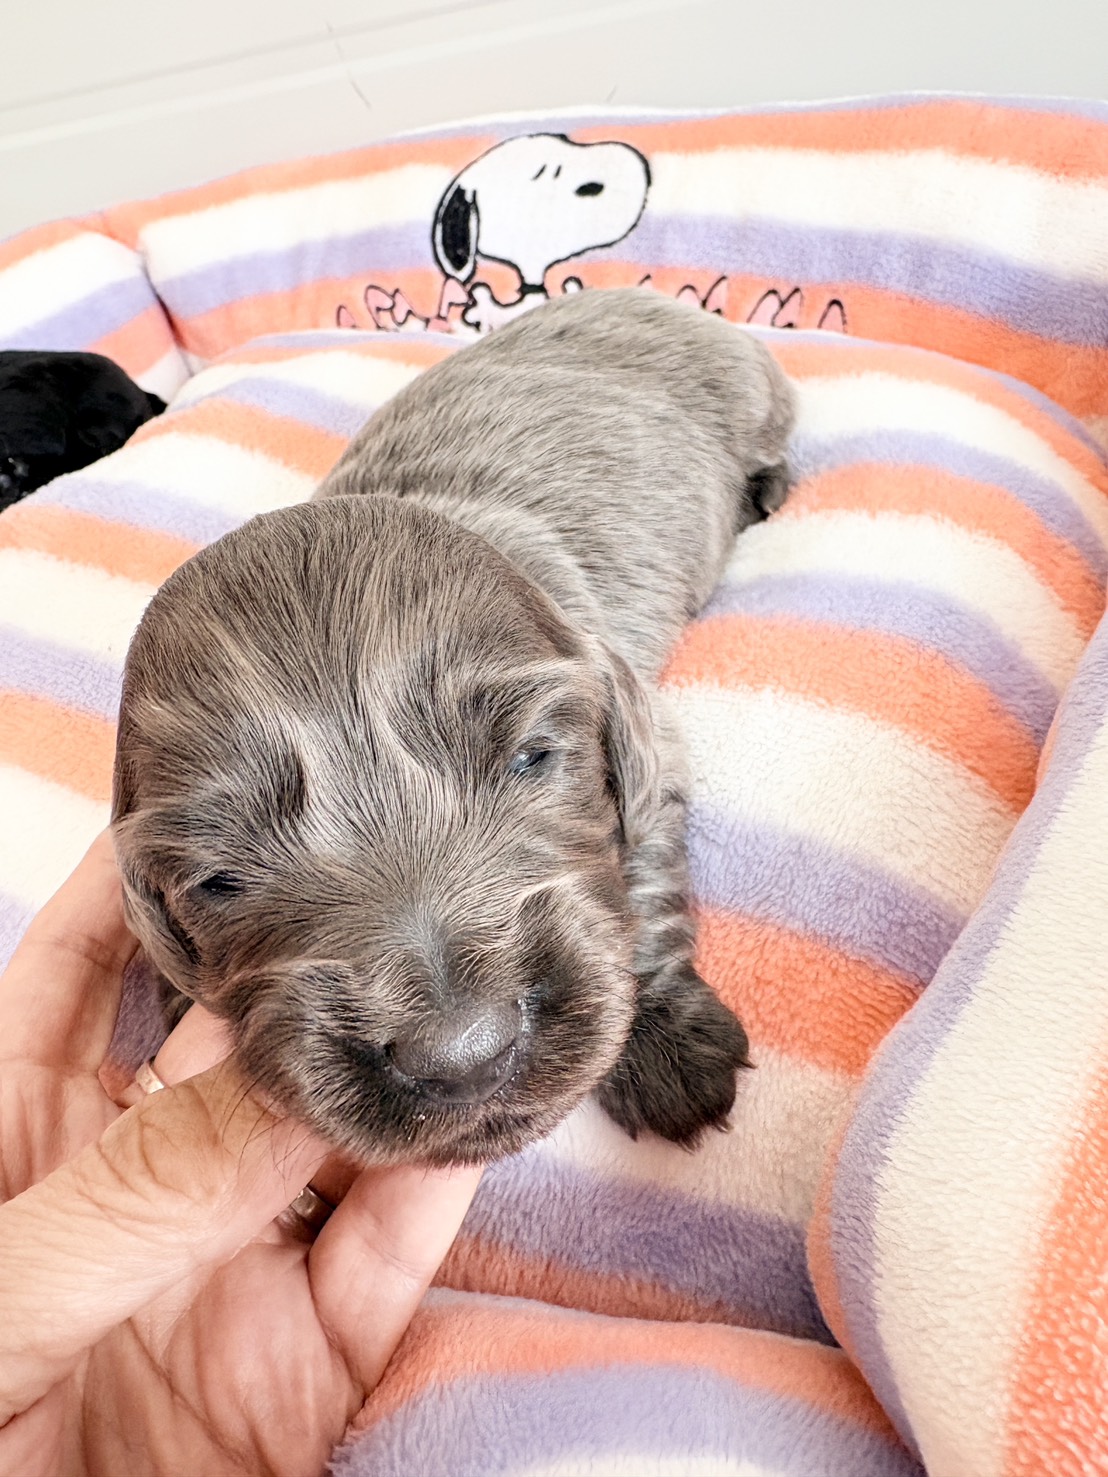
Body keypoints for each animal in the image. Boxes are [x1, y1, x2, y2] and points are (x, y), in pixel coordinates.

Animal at [112, 289, 796, 1166]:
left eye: (532, 758)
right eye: (218, 881)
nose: (463, 1055)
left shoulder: (649, 745)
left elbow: (643, 882)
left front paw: (670, 1051)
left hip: (754, 388)